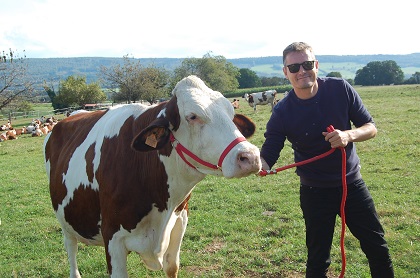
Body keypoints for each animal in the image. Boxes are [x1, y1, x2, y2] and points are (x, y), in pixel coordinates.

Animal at [43, 75, 262, 276]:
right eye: (192, 116)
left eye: (231, 113)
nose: (250, 156)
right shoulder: (112, 237)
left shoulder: (180, 221)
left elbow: (172, 267)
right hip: (65, 220)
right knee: (71, 249)